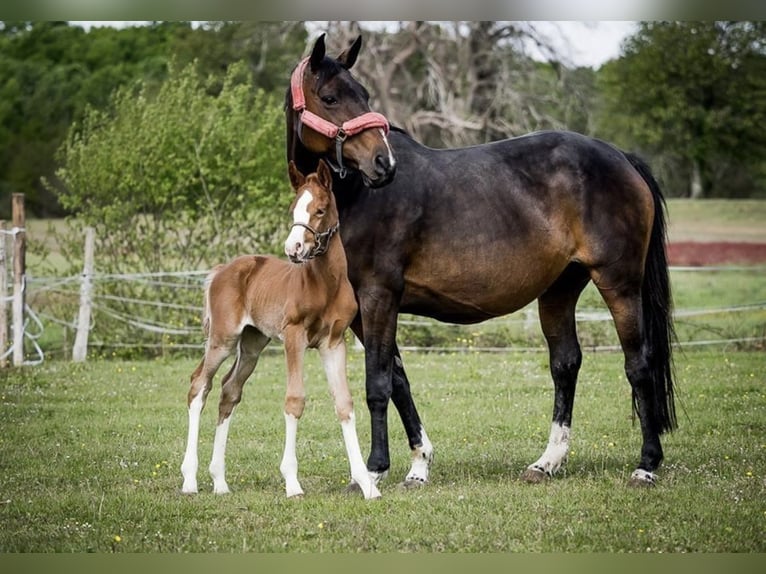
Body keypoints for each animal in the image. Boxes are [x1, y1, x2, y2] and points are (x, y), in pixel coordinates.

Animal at [181, 161, 384, 500]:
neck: (325, 284)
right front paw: (292, 482)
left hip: (252, 344)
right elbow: (294, 400)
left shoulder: (333, 342)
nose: (294, 248)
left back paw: (220, 481)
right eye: (293, 209)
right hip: (223, 339)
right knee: (199, 385)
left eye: (320, 209)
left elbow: (344, 403)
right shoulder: (294, 336)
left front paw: (367, 484)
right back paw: (189, 480)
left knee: (229, 390)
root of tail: (221, 270)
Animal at [288, 33, 680, 488]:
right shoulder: (361, 312)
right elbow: (399, 380)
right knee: (565, 364)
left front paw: (373, 468)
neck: (356, 196)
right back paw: (546, 463)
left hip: (619, 283)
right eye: (331, 97)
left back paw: (646, 464)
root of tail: (621, 157)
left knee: (639, 363)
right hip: (560, 289)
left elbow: (378, 383)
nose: (382, 163)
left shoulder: (379, 297)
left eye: (364, 94)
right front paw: (419, 464)